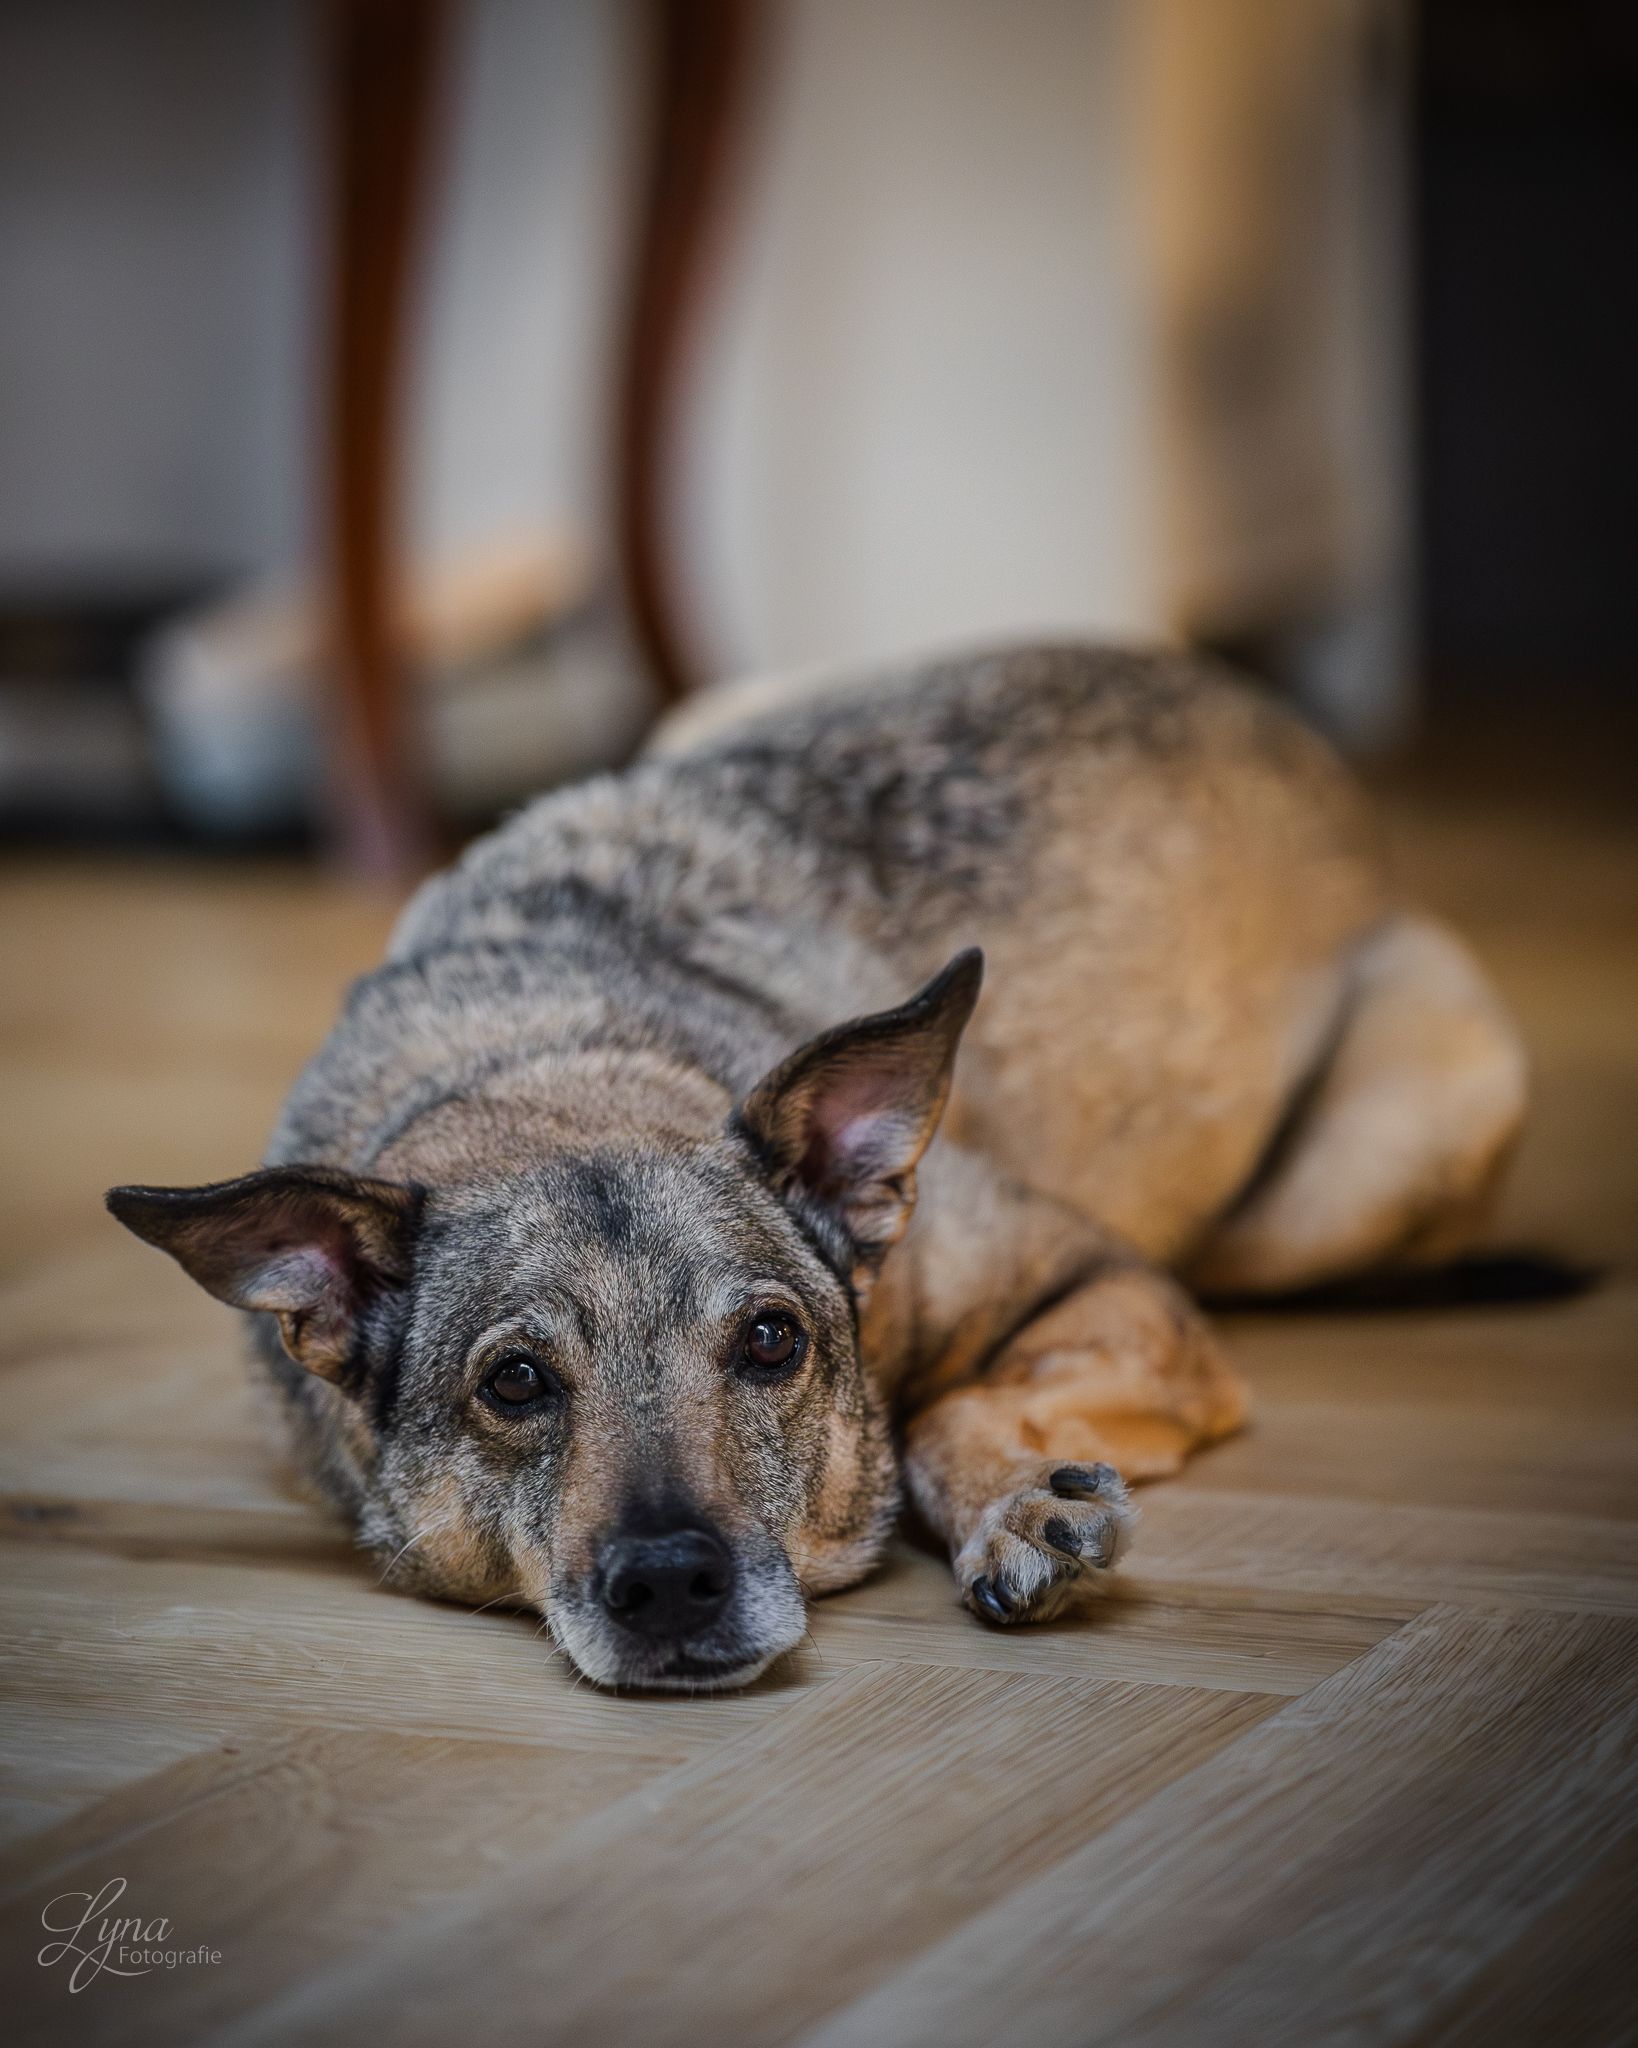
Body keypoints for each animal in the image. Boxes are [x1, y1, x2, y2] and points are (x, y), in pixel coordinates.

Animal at [108, 644, 1527, 1690]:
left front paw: (1020, 1502)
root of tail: (1251, 697)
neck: (552, 1060)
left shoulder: (1112, 1283)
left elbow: (948, 1408)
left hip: (1390, 1143)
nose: (670, 1582)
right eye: (514, 1381)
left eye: (772, 1342)